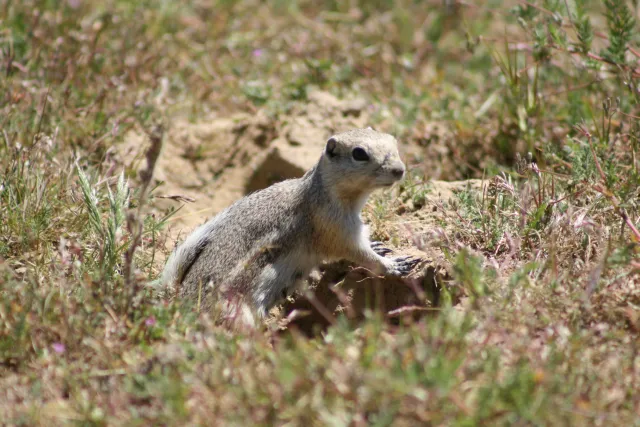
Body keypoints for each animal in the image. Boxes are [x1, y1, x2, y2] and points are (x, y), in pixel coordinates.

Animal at [160, 127, 420, 322]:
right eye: (359, 153)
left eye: (393, 140)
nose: (399, 170)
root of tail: (179, 301)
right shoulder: (334, 229)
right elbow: (359, 254)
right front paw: (393, 265)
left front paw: (378, 246)